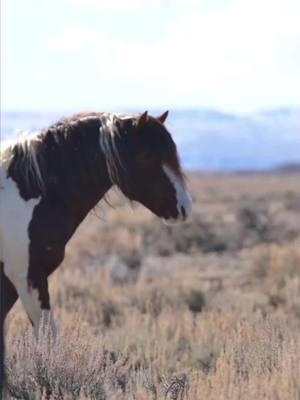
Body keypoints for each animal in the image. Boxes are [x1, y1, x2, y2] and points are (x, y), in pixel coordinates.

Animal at [0, 111, 192, 390]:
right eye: (147, 155)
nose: (184, 207)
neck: (25, 195)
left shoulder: (10, 281)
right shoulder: (28, 275)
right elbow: (48, 338)